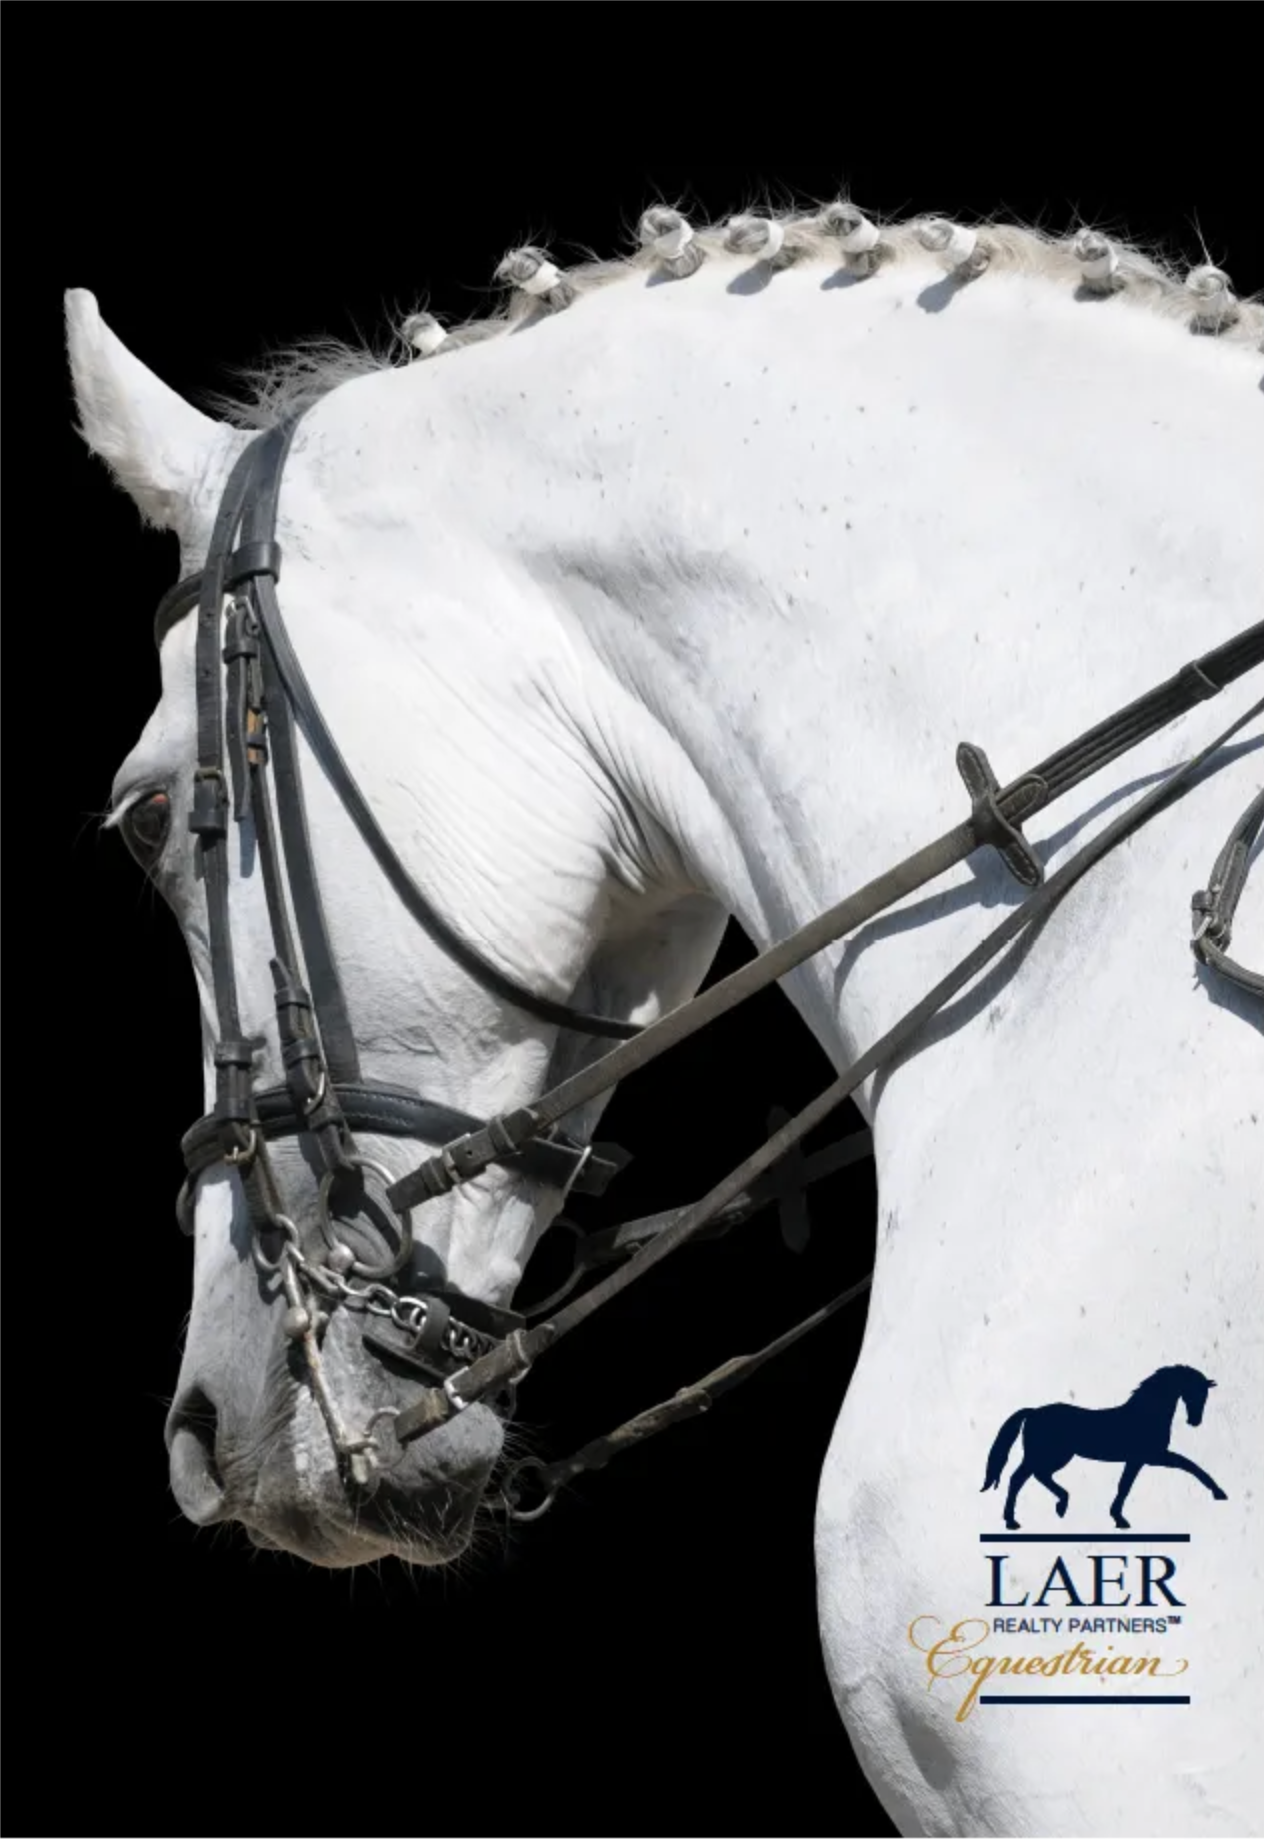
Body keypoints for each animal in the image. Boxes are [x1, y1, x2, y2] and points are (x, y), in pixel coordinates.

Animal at [982, 1364, 1228, 1530]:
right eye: (1195, 1392)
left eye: (1204, 1395)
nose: (1195, 1421)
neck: (1146, 1416)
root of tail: (1032, 1412)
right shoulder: (1149, 1457)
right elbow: (1189, 1466)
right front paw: (1219, 1492)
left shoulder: (1142, 1459)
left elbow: (1126, 1485)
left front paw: (1117, 1518)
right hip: (1048, 1455)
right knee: (1020, 1478)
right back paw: (1017, 1519)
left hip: (1054, 1456)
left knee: (1035, 1476)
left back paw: (1057, 1505)